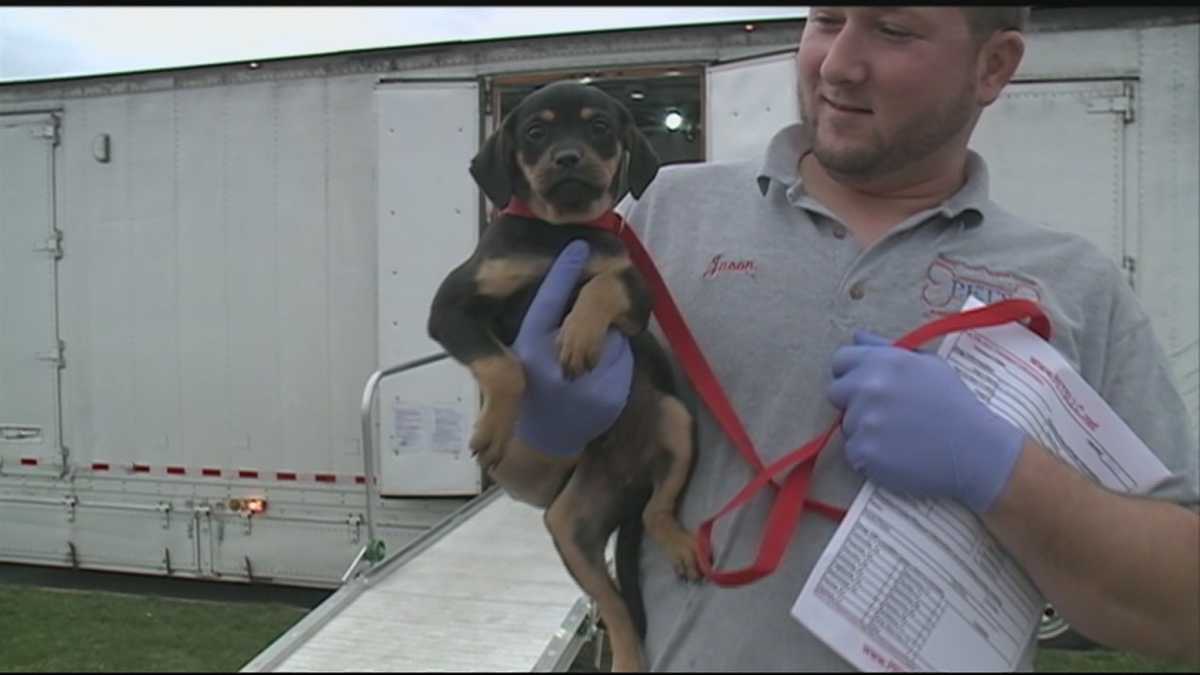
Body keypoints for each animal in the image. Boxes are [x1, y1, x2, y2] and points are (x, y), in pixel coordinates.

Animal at [427, 79, 700, 667]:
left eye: (599, 126)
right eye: (535, 132)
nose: (568, 158)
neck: (560, 233)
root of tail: (630, 483)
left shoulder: (633, 293)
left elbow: (601, 282)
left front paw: (577, 336)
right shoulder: (451, 308)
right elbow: (507, 366)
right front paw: (492, 430)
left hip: (676, 420)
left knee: (657, 516)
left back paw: (680, 544)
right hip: (570, 526)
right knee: (616, 606)